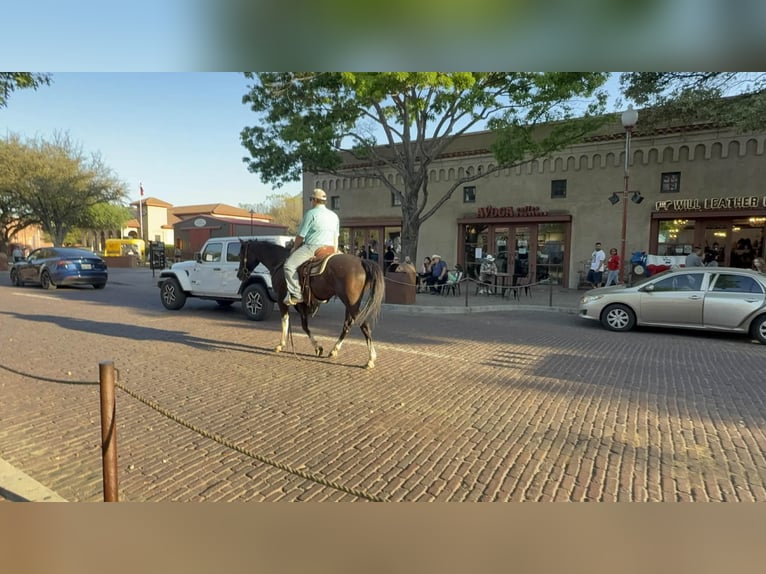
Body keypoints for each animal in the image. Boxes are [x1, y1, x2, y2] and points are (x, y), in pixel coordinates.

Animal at [237, 240, 386, 369]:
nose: (239, 275)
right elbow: (304, 326)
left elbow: (285, 321)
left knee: (364, 325)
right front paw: (318, 348)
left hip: (351, 302)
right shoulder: (302, 303)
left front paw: (281, 345)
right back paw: (334, 350)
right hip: (351, 303)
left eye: (240, 254)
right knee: (347, 325)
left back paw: (370, 359)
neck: (278, 262)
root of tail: (361, 261)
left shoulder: (281, 299)